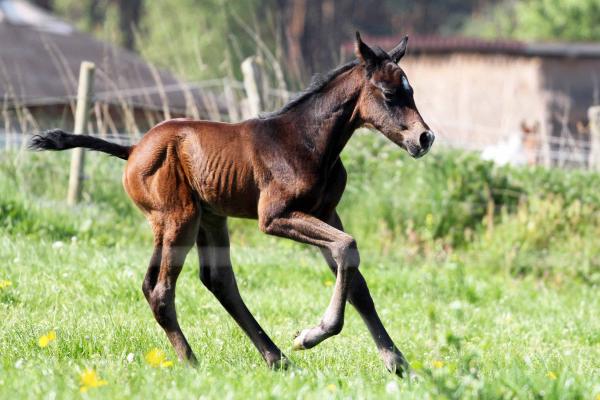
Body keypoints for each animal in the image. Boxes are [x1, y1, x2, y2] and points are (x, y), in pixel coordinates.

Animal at [29, 32, 432, 376]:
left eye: (410, 91)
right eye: (388, 94)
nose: (424, 138)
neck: (307, 141)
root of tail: (132, 148)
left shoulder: (326, 212)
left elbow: (356, 280)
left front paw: (397, 363)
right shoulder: (275, 217)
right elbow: (347, 247)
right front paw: (310, 336)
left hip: (207, 218)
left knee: (213, 281)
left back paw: (276, 359)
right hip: (180, 218)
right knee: (161, 290)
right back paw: (193, 363)